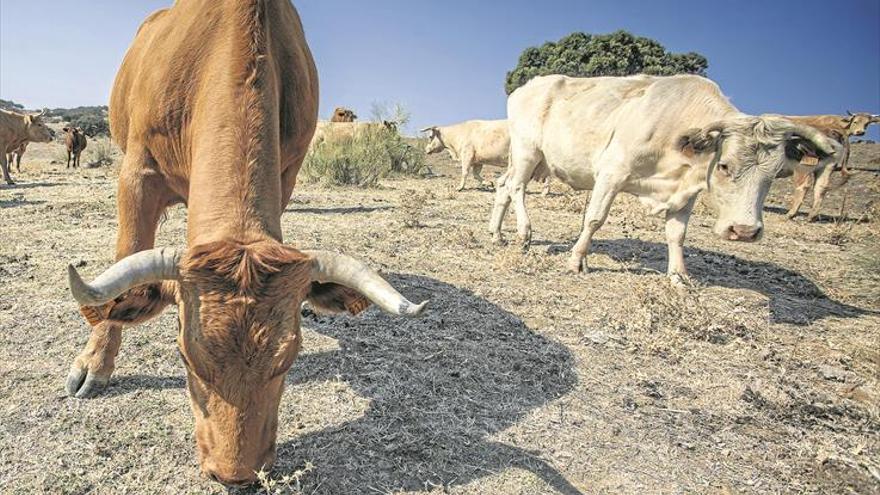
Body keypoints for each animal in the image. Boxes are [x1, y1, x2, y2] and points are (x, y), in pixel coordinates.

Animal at [62, 0, 426, 488]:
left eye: (289, 358)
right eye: (185, 357)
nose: (234, 474)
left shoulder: (286, 173)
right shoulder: (136, 174)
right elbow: (122, 266)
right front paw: (95, 363)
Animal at [420, 121, 552, 195]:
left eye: (430, 137)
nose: (426, 149)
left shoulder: (467, 154)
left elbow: (465, 172)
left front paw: (460, 187)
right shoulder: (477, 161)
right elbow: (476, 174)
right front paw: (488, 183)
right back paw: (545, 191)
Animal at [492, 75, 844, 280]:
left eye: (774, 174)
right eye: (724, 166)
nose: (744, 231)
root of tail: (526, 86)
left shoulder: (686, 191)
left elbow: (677, 234)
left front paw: (678, 277)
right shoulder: (612, 171)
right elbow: (594, 219)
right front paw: (577, 260)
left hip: (534, 160)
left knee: (503, 186)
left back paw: (497, 234)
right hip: (527, 151)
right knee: (517, 187)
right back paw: (523, 233)